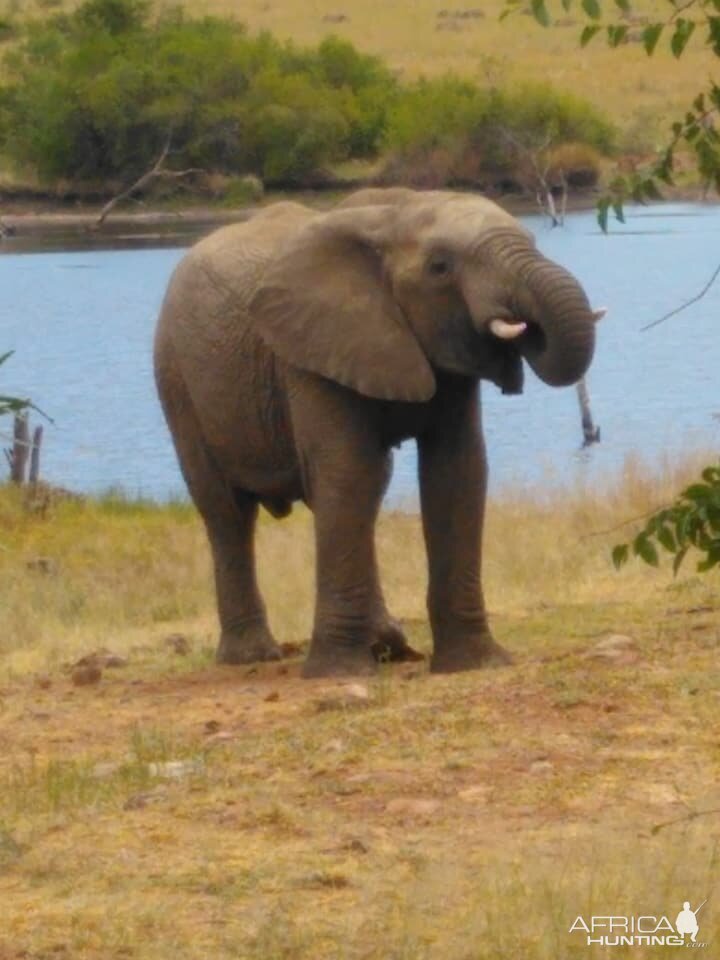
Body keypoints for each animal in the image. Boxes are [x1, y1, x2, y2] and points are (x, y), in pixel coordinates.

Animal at [156, 188, 600, 680]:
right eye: (440, 267)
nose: (525, 328)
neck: (393, 214)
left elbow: (458, 472)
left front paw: (473, 664)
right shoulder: (310, 351)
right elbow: (350, 472)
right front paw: (339, 674)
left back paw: (389, 645)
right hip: (177, 379)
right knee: (227, 512)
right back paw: (254, 657)